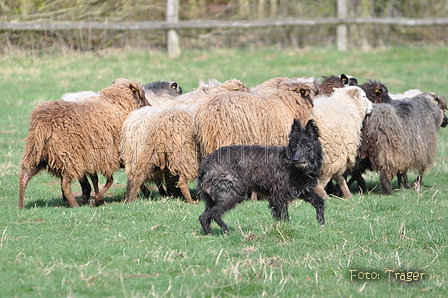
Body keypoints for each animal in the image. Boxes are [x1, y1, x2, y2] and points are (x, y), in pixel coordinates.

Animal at [18, 79, 148, 210]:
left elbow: (97, 179)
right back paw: (75, 205)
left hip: (36, 153)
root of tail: (44, 122)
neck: (118, 102)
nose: (149, 106)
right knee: (65, 183)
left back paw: (21, 206)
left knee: (24, 176)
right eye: (142, 94)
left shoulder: (94, 158)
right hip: (69, 156)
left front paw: (97, 199)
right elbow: (109, 180)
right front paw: (96, 200)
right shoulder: (107, 157)